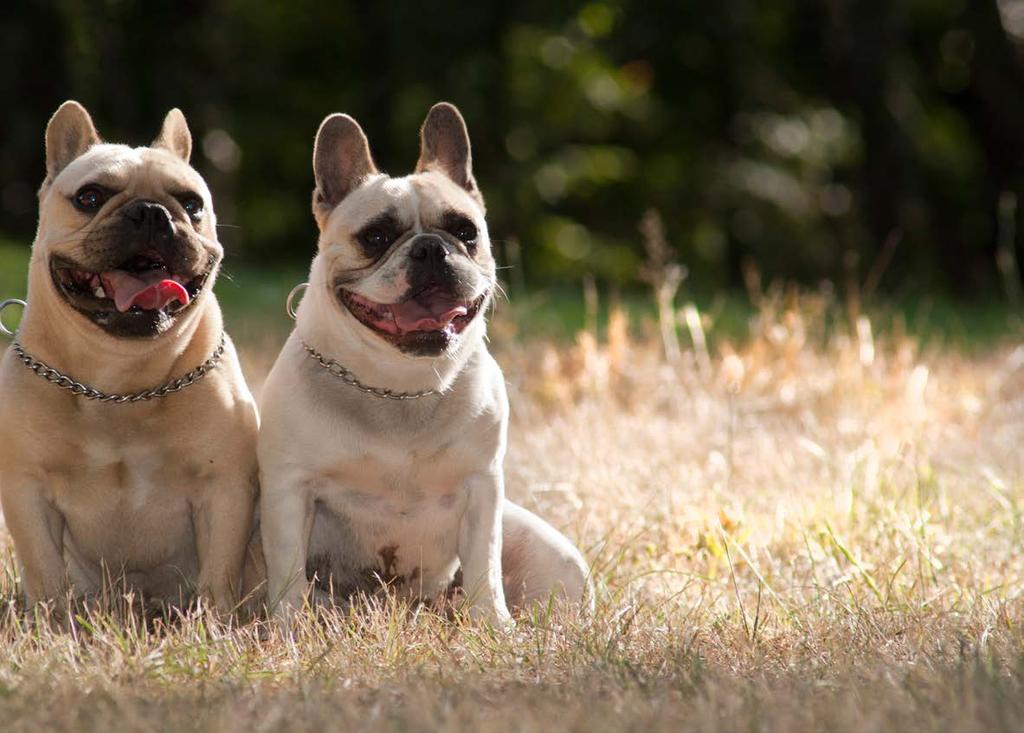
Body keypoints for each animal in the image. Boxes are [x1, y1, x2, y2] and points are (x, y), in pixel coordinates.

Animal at [0, 98, 260, 614]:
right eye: (89, 197)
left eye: (192, 204)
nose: (152, 212)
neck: (119, 382)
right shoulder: (26, 490)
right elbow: (45, 571)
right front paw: (54, 622)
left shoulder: (224, 490)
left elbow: (219, 572)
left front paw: (215, 621)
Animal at [258, 102, 593, 622]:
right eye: (376, 236)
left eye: (465, 231)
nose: (432, 247)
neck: (399, 386)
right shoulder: (289, 490)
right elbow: (289, 574)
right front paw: (288, 630)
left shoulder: (483, 489)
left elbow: (484, 567)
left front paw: (493, 627)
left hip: (557, 559)